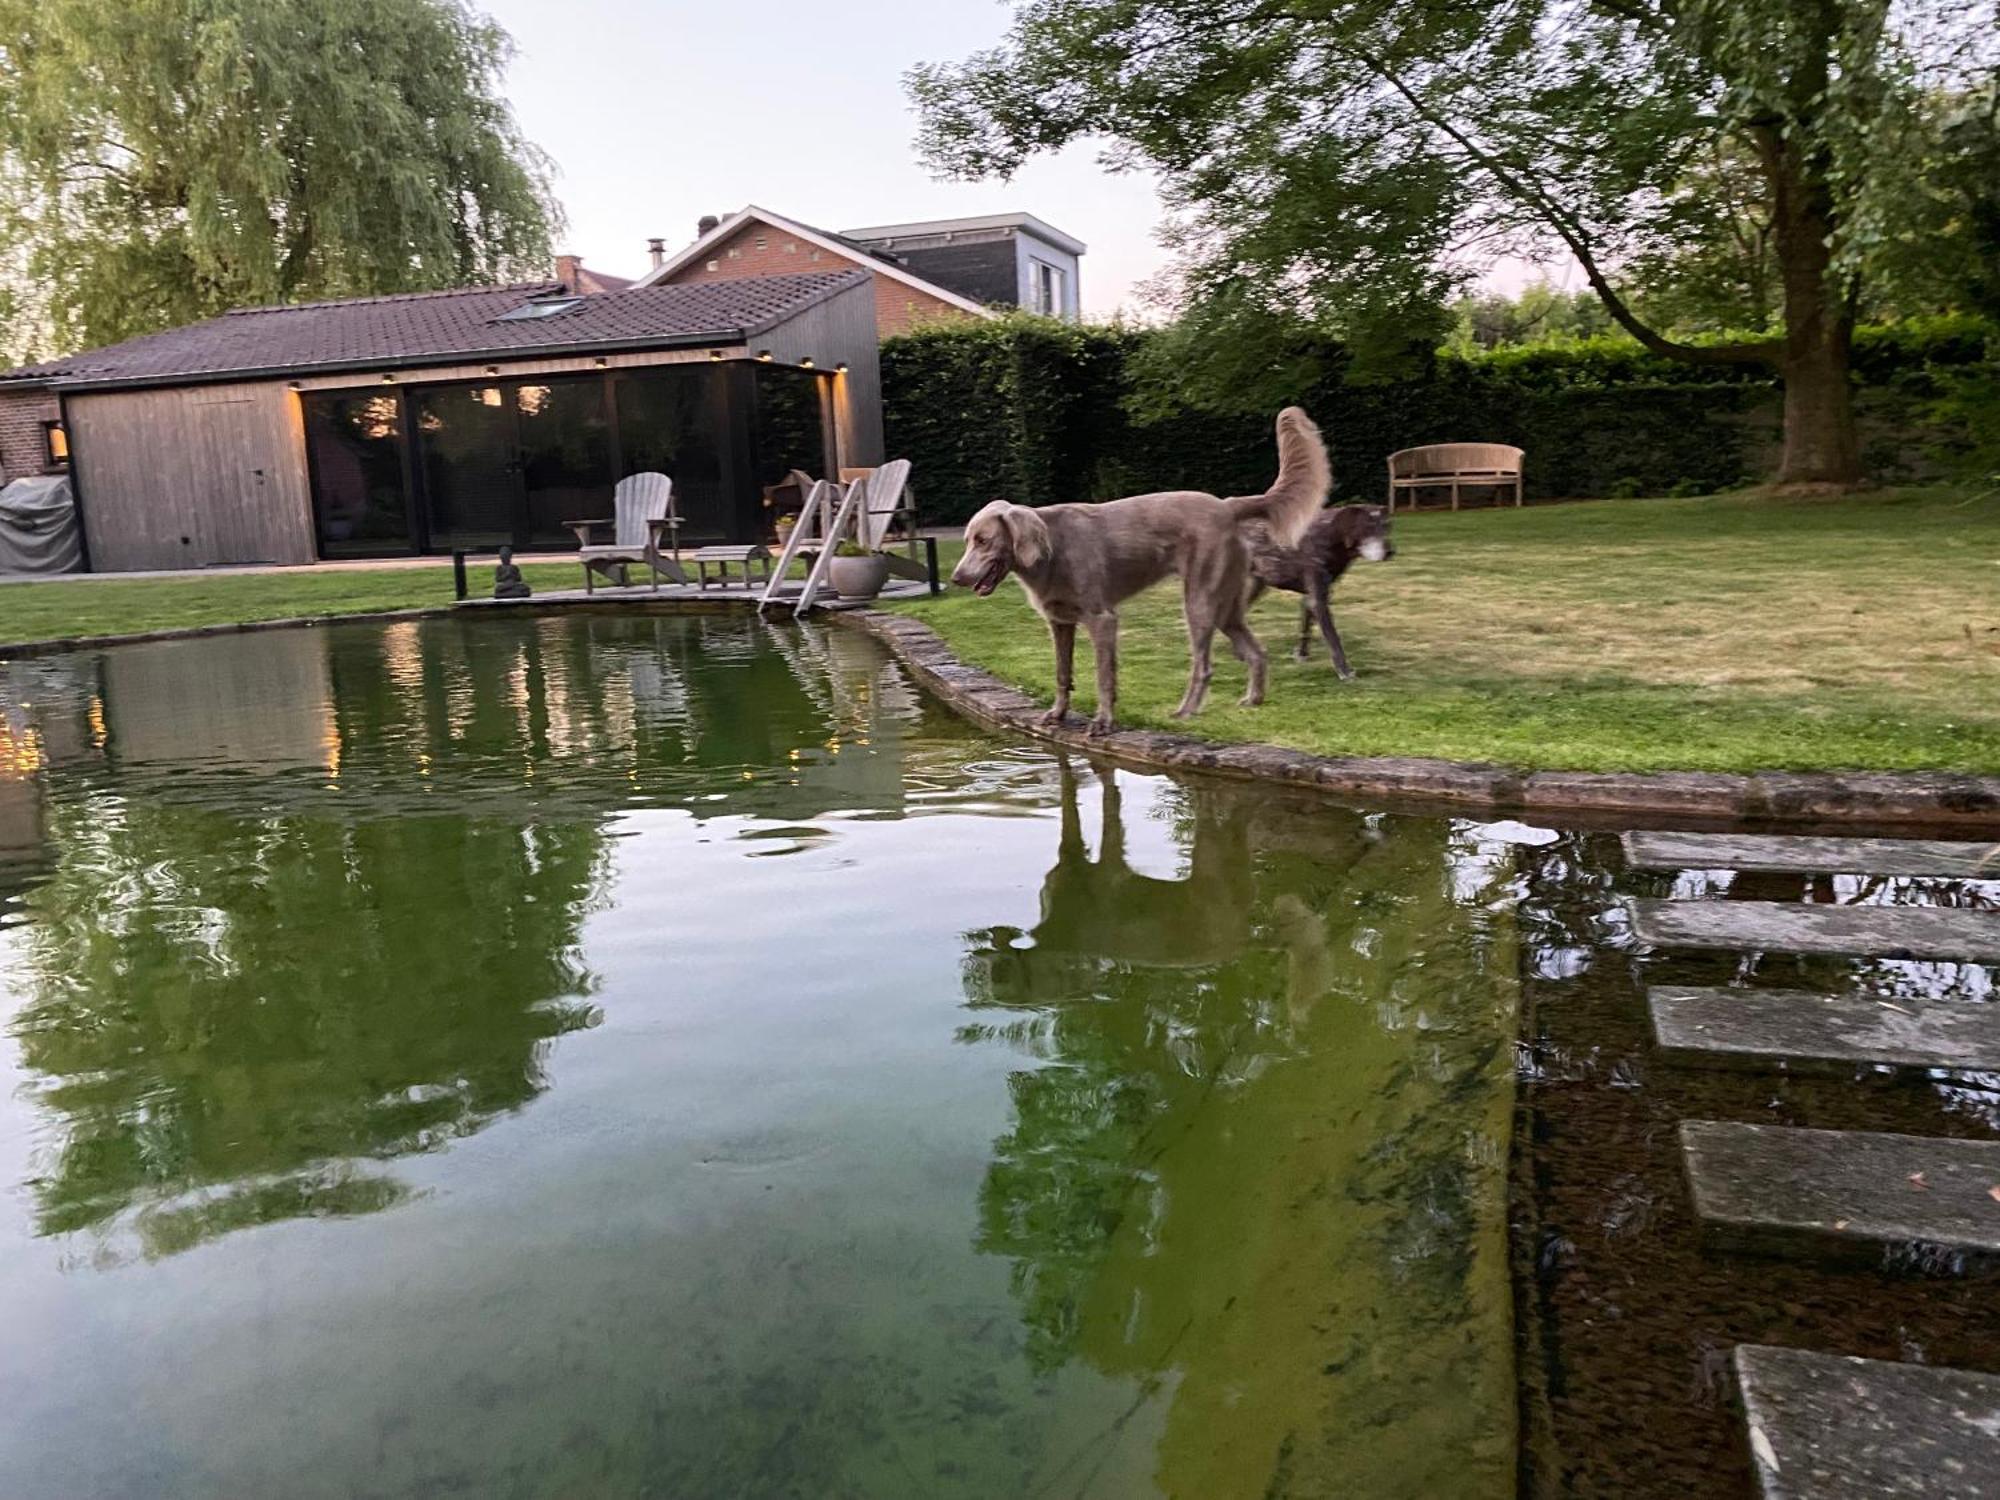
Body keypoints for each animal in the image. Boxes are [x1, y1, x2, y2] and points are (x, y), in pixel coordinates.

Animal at [948, 408, 1328, 736]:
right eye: (967, 540)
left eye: (983, 540)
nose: (956, 578)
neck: (1052, 550)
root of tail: (1227, 504)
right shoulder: (1059, 623)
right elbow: (1061, 673)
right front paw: (1057, 714)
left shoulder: (1102, 619)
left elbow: (1103, 676)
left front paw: (1102, 722)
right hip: (1226, 606)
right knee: (1256, 653)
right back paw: (1252, 700)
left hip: (1199, 601)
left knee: (1203, 666)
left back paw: (1185, 712)